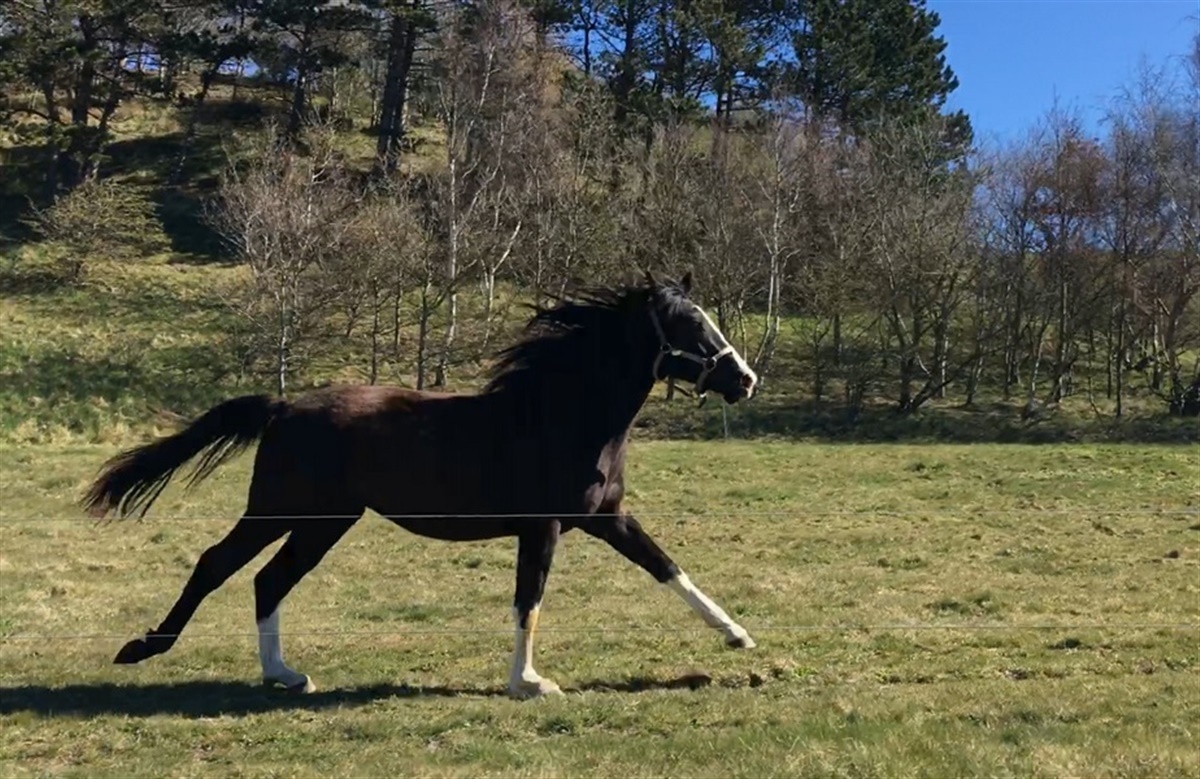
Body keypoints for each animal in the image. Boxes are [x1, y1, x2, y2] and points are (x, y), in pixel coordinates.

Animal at [81, 269, 760, 699]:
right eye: (689, 324)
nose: (746, 379)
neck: (562, 416)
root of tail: (283, 406)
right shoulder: (542, 527)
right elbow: (529, 601)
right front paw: (529, 684)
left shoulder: (606, 519)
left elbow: (669, 569)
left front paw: (740, 637)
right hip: (283, 510)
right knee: (216, 564)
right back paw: (145, 647)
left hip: (324, 523)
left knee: (267, 580)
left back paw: (285, 675)